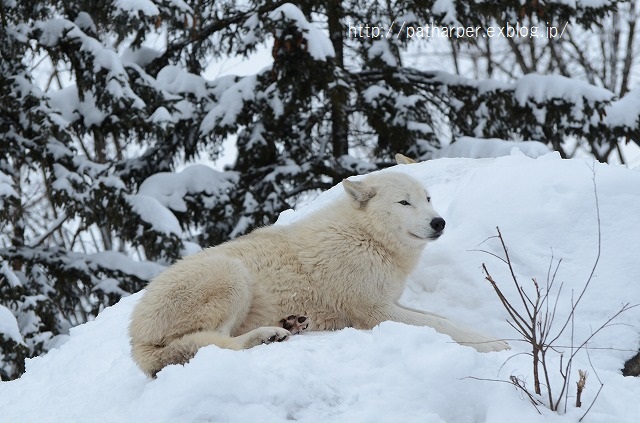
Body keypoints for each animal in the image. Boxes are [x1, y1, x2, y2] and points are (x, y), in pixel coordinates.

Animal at [130, 171, 510, 376]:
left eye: (428, 198)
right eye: (404, 202)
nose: (439, 222)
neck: (366, 238)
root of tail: (135, 339)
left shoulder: (391, 303)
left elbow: (445, 319)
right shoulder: (376, 312)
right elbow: (444, 326)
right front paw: (496, 344)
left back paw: (290, 325)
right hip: (232, 275)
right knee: (212, 344)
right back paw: (268, 336)